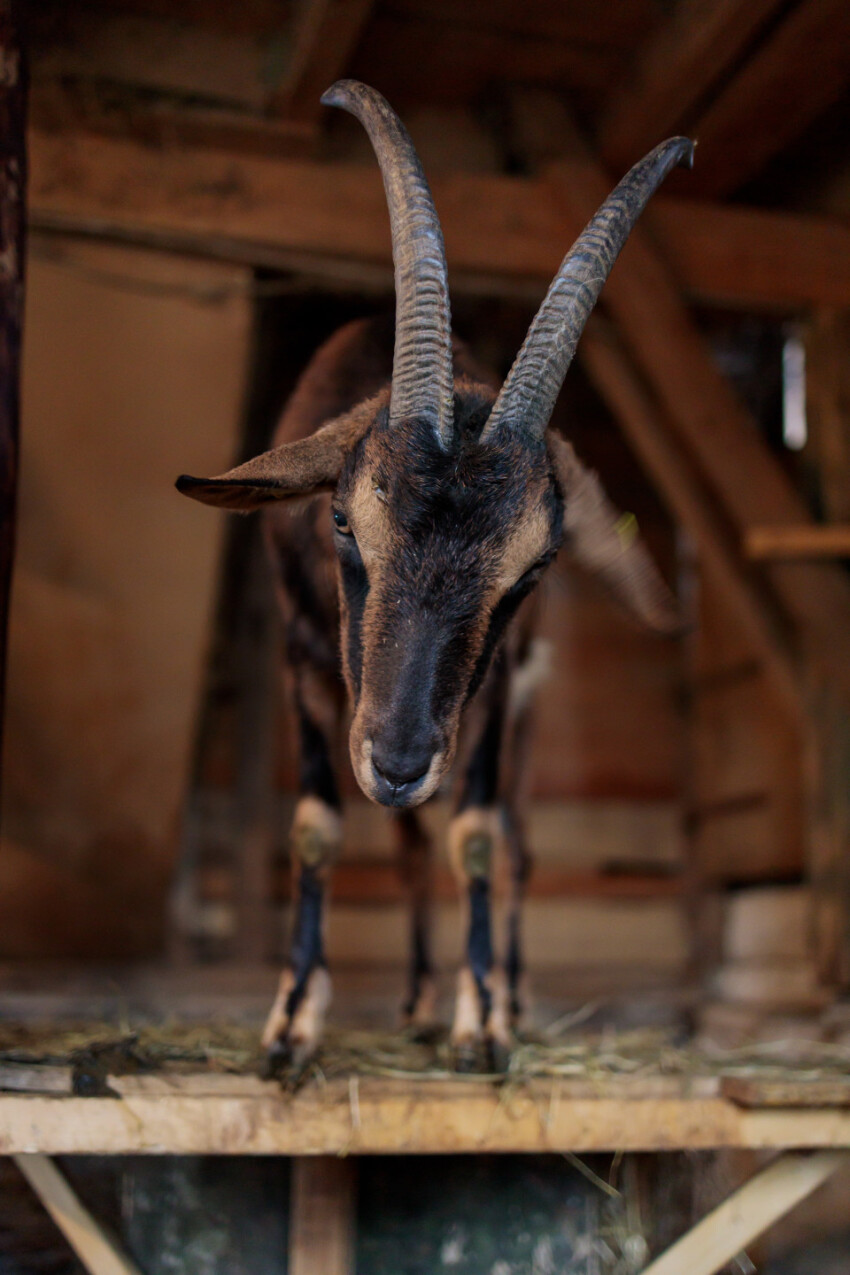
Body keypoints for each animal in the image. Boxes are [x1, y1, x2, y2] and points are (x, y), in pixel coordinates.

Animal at [179, 79, 693, 1071]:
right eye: (343, 521)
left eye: (536, 565)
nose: (401, 760)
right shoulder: (308, 668)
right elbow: (319, 827)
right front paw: (292, 1022)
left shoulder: (484, 701)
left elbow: (479, 840)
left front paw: (483, 1018)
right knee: (412, 846)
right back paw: (414, 995)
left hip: (517, 714)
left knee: (516, 842)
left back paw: (508, 993)